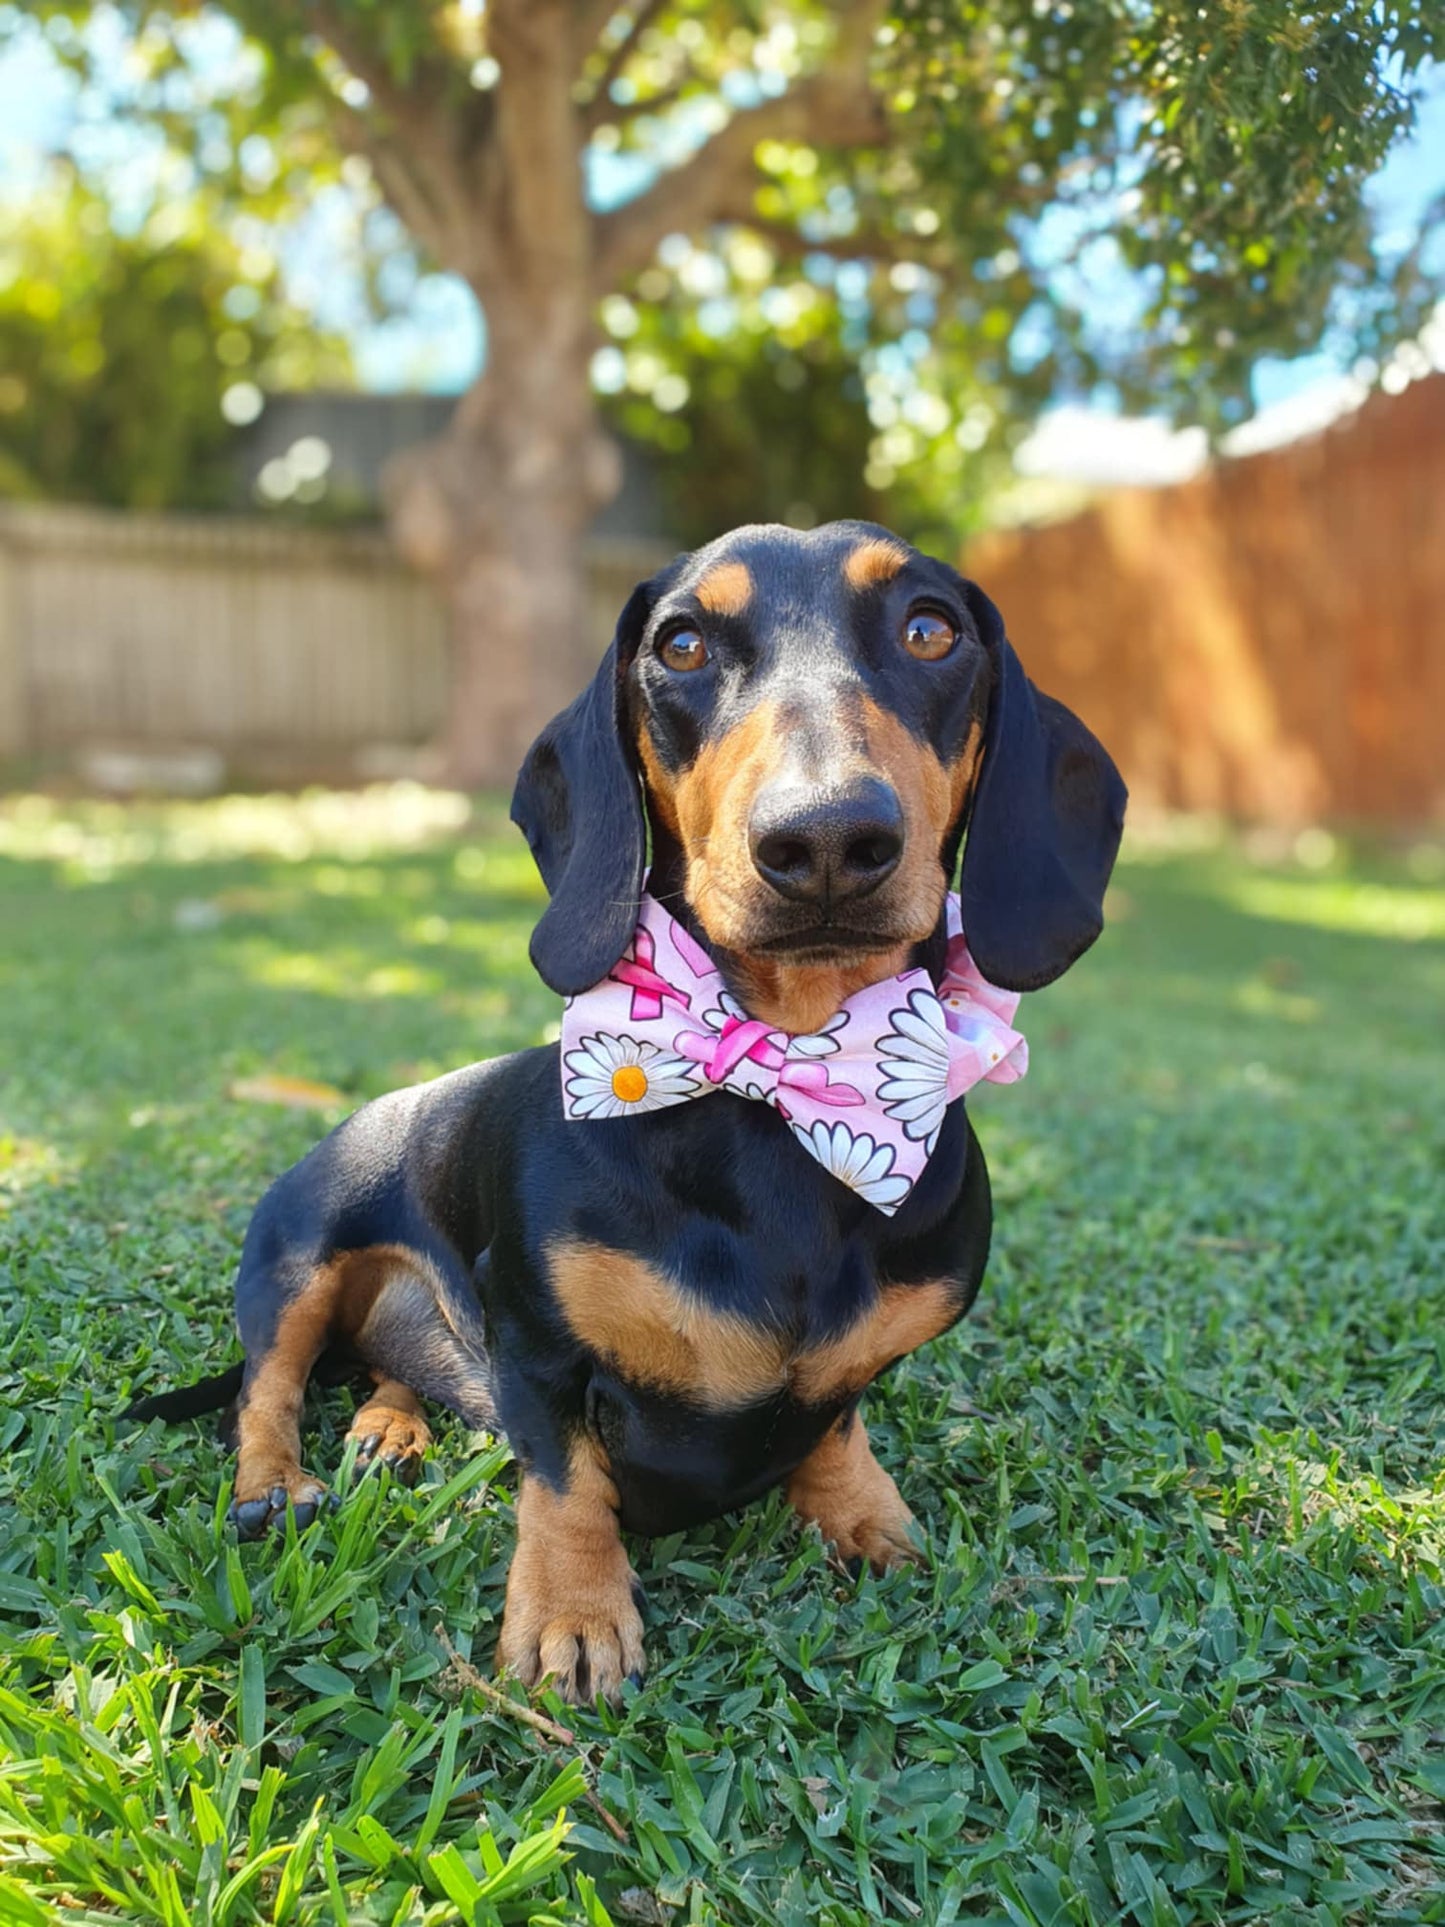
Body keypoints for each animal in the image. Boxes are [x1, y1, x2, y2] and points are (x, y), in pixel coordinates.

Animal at [127, 516, 1132, 1703]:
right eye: (682, 644)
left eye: (930, 629)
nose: (825, 838)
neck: (785, 1080)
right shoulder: (532, 1343)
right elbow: (564, 1478)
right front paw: (572, 1614)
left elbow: (835, 1421)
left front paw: (860, 1516)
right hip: (293, 1263)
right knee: (267, 1389)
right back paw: (279, 1481)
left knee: (384, 1362)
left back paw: (389, 1426)